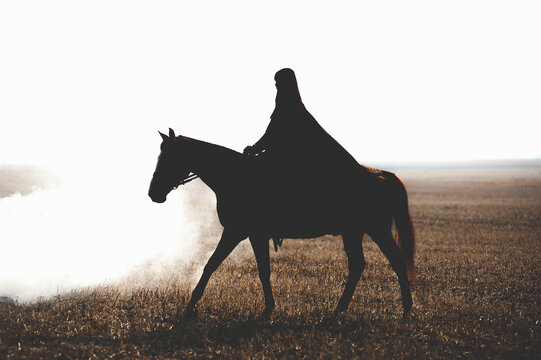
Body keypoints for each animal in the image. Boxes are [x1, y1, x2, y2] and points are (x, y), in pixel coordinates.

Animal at [148, 129, 414, 318]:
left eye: (169, 157)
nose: (153, 193)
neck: (235, 177)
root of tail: (382, 174)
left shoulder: (238, 232)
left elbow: (215, 265)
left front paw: (190, 306)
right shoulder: (252, 234)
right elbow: (259, 269)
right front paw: (268, 308)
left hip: (375, 230)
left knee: (395, 260)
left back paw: (406, 310)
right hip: (355, 232)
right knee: (360, 264)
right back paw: (341, 309)